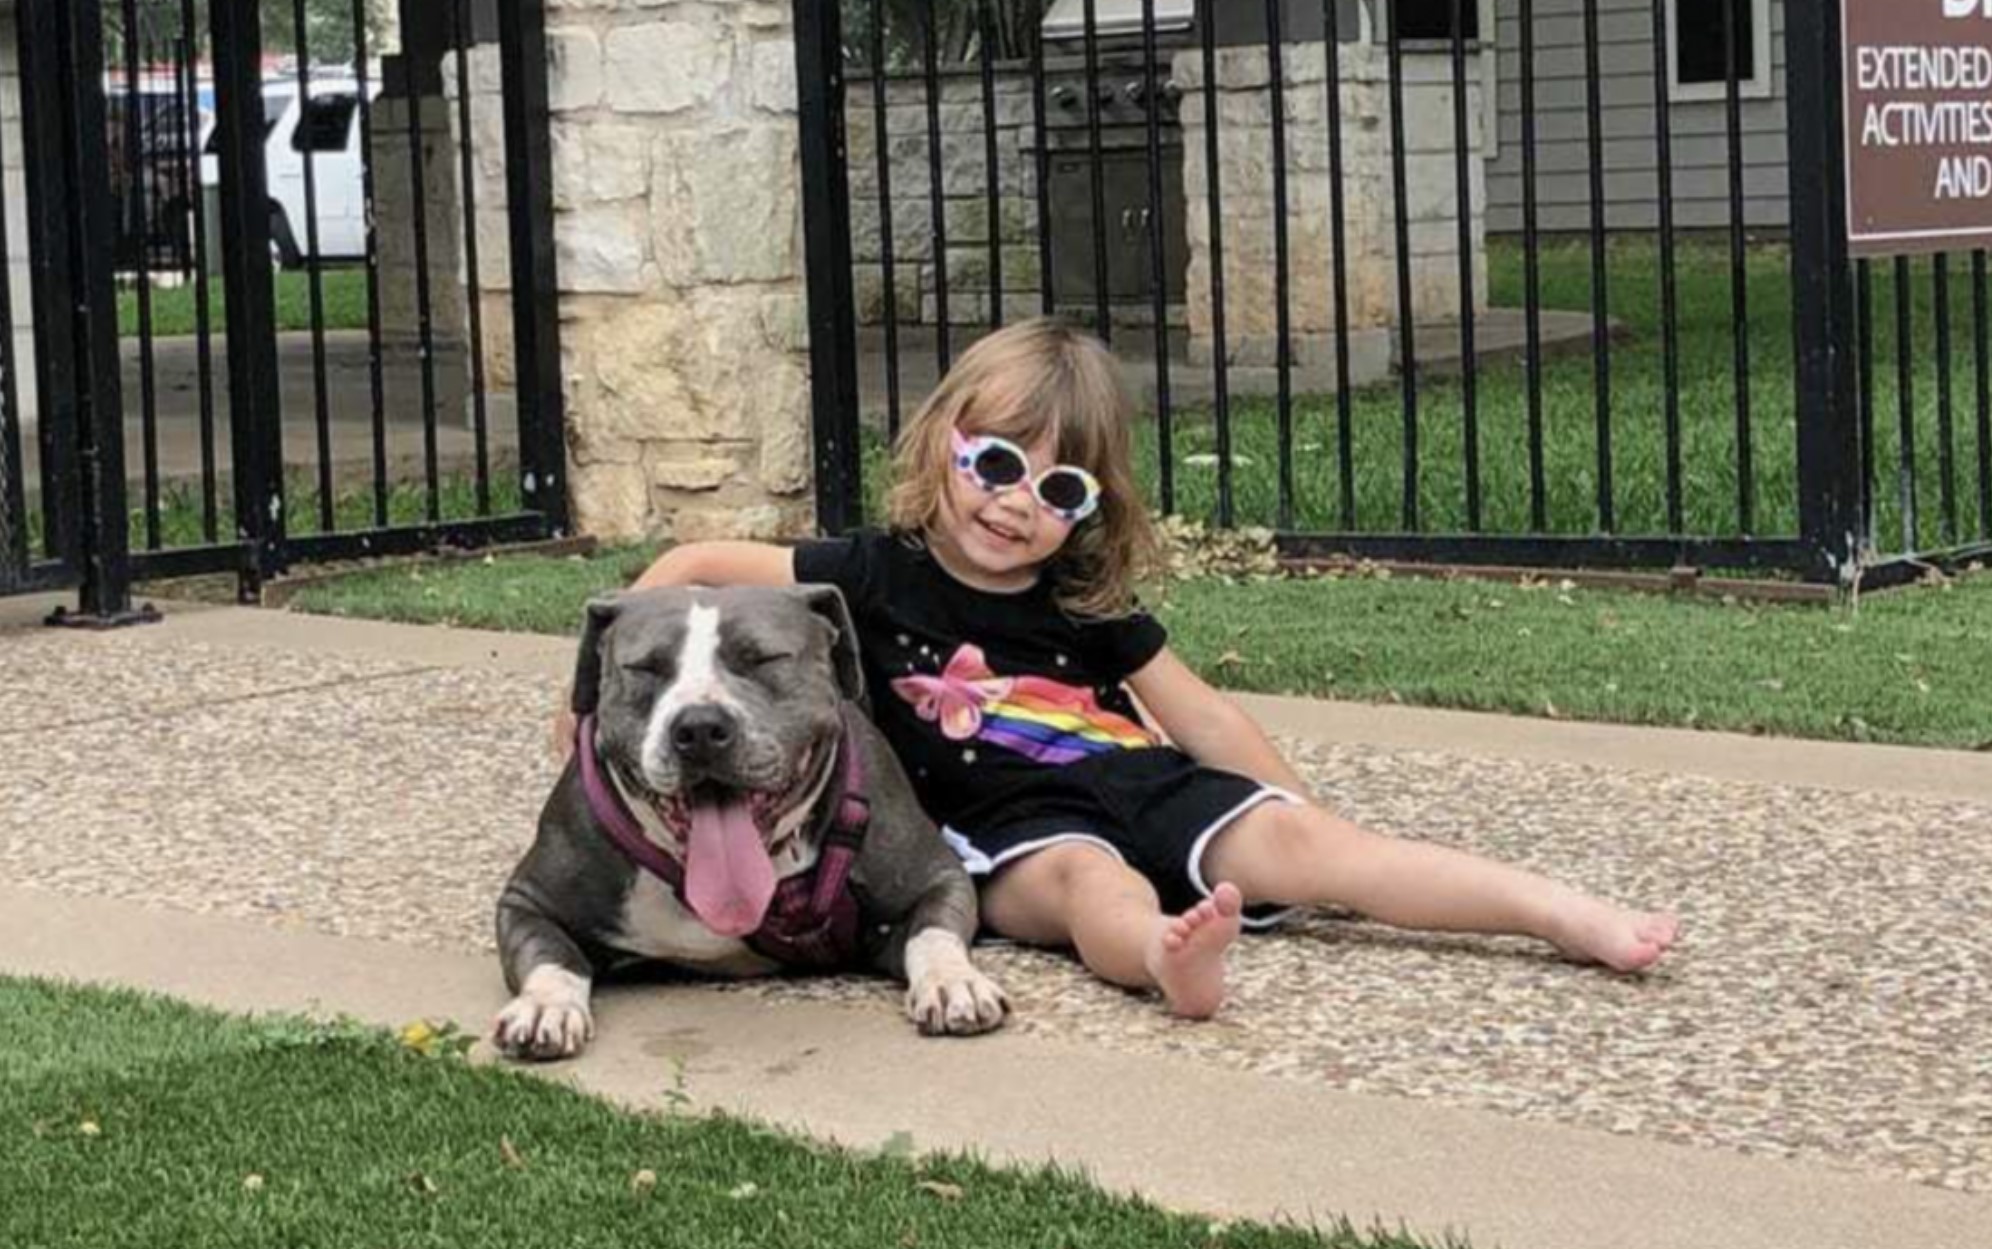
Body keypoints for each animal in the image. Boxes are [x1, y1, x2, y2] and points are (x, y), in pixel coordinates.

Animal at [492, 581, 1003, 1059]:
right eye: (644, 668)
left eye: (764, 659)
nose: (699, 728)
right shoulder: (527, 901)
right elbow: (552, 954)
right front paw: (546, 1005)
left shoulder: (936, 878)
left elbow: (932, 931)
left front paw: (952, 982)